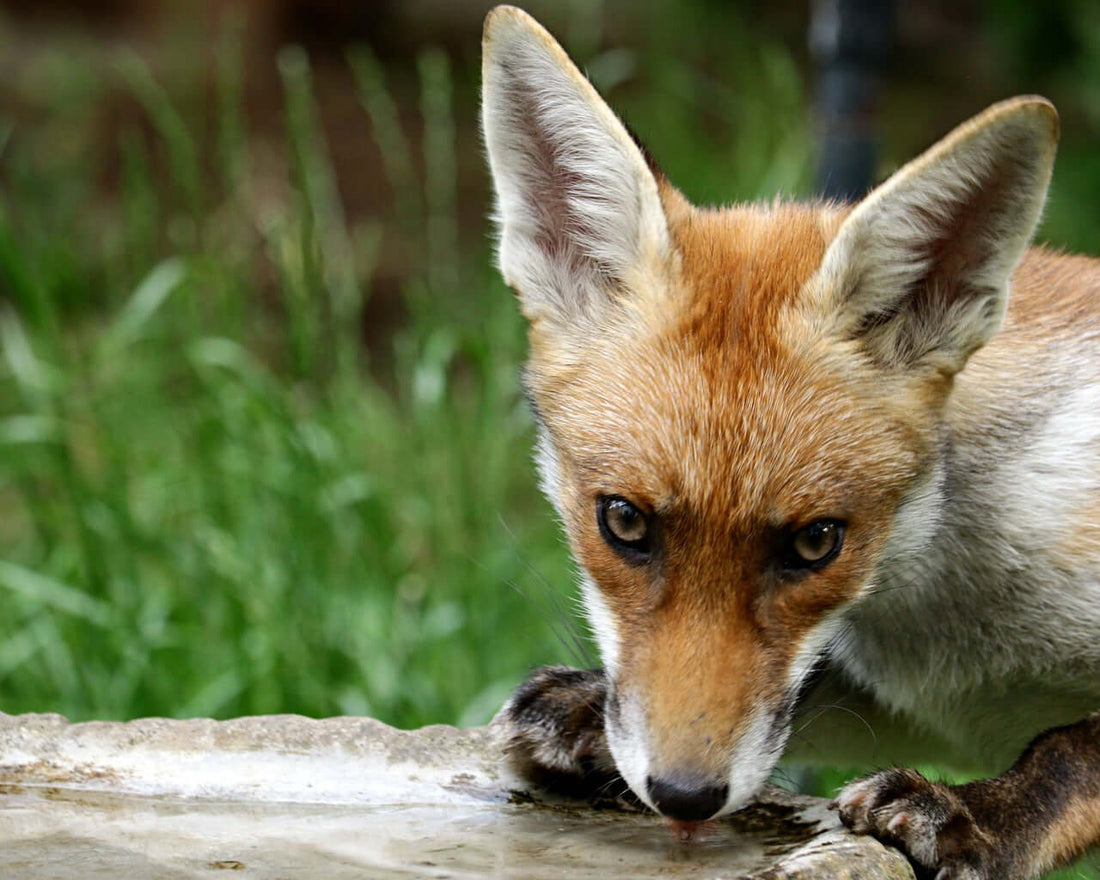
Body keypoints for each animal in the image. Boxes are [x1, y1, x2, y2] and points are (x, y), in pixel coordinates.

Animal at [481, 6, 1100, 880]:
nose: (684, 797)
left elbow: (1072, 750)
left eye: (816, 543)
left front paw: (981, 818)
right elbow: (811, 692)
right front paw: (586, 709)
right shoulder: (922, 701)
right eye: (623, 522)